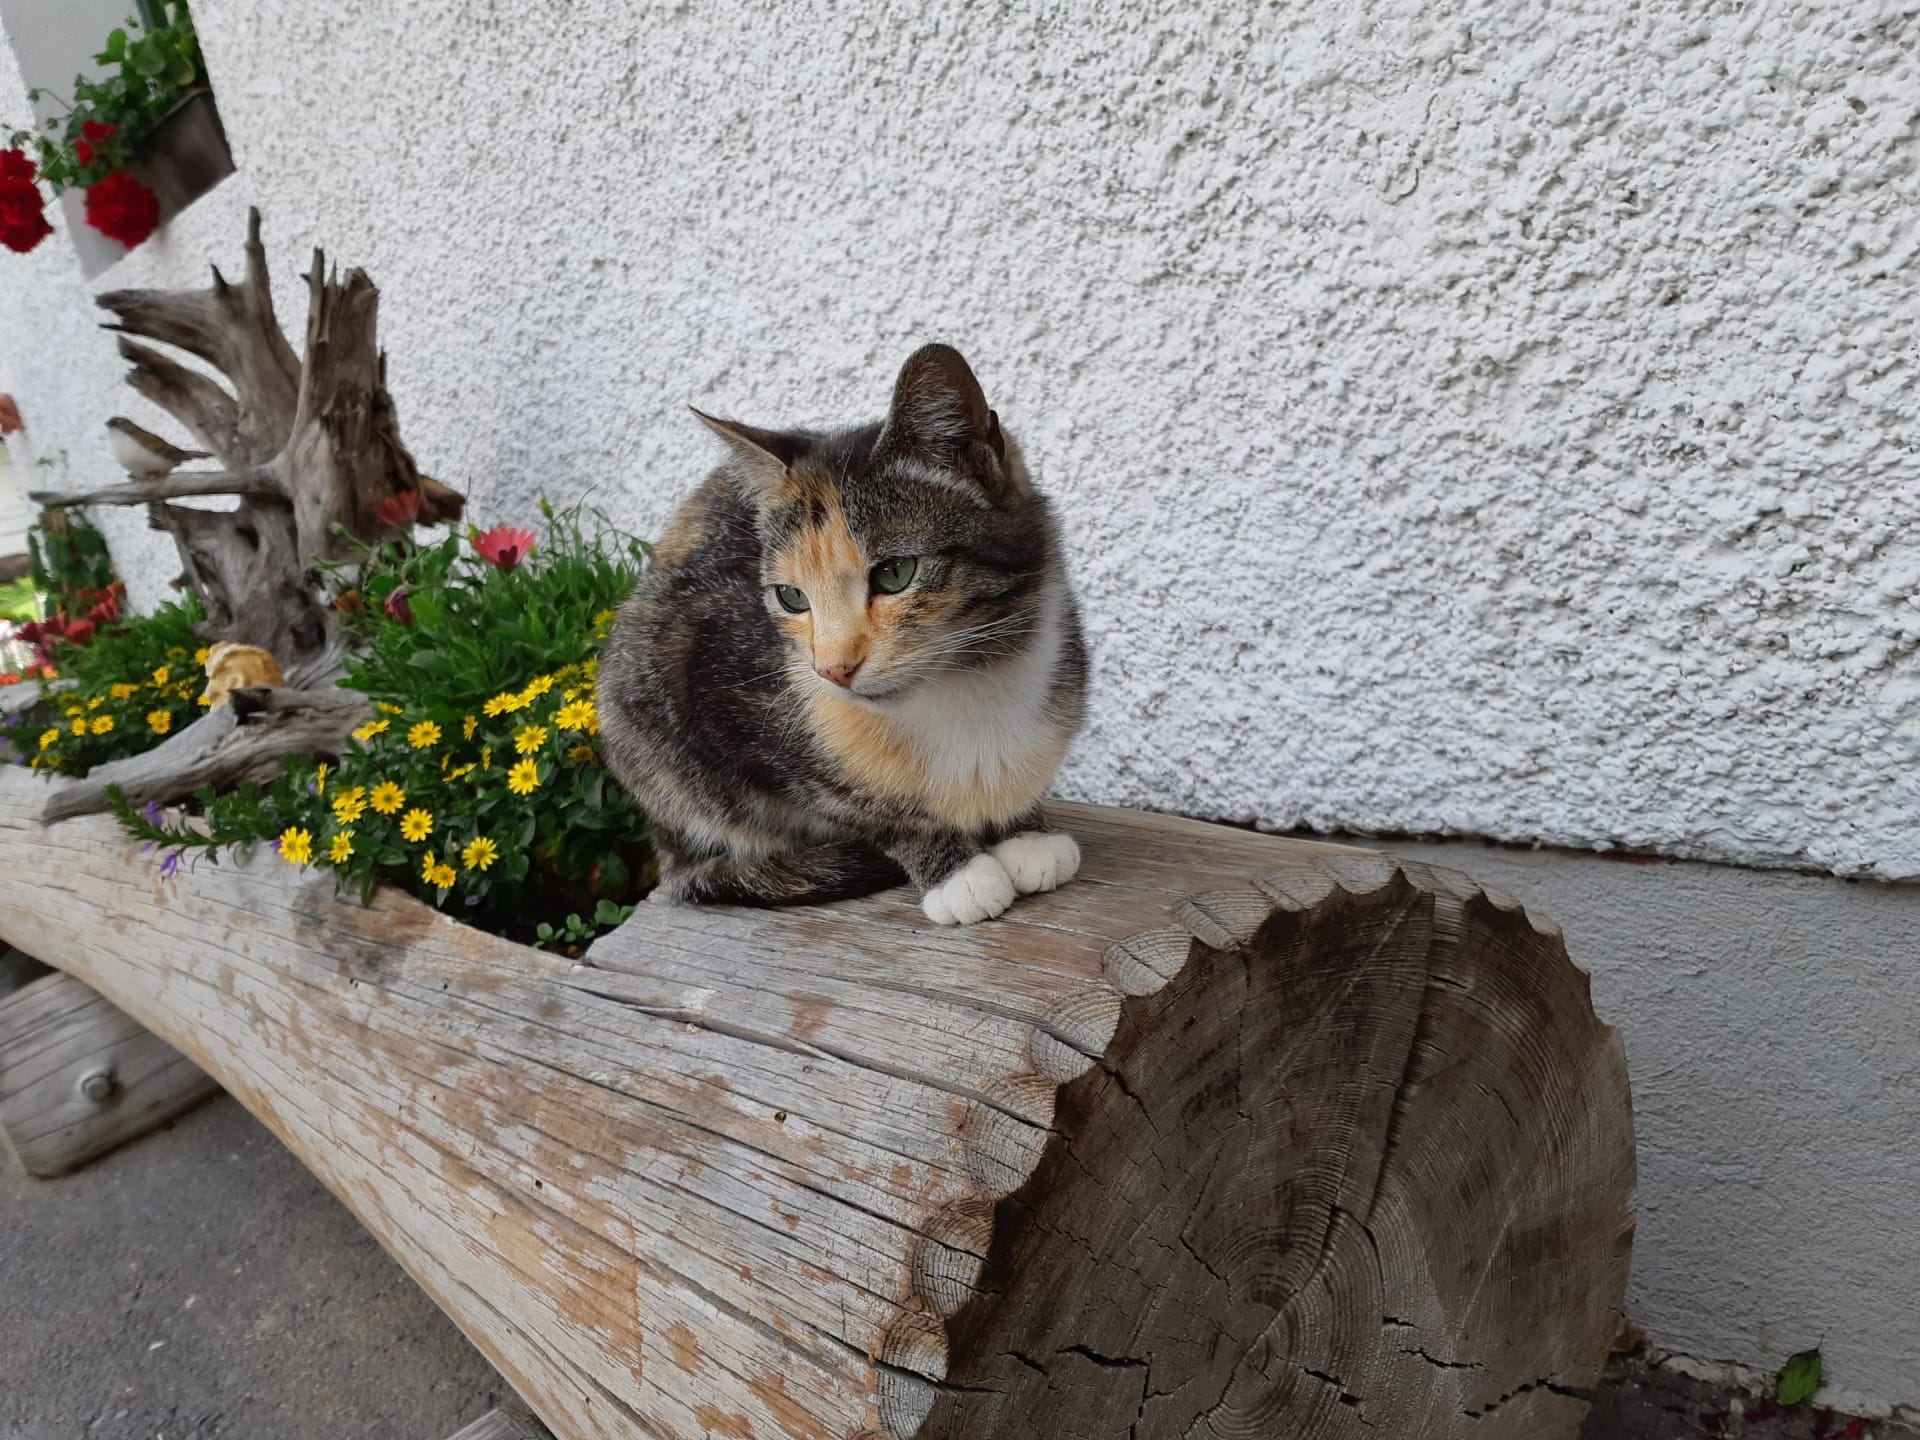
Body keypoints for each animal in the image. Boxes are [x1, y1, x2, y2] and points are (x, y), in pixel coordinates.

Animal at [598, 344, 1088, 925]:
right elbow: (855, 803)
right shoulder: (714, 682)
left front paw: (1026, 834)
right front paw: (956, 872)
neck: (967, 683)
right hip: (636, 696)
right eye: (791, 597)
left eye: (895, 573)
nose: (832, 668)